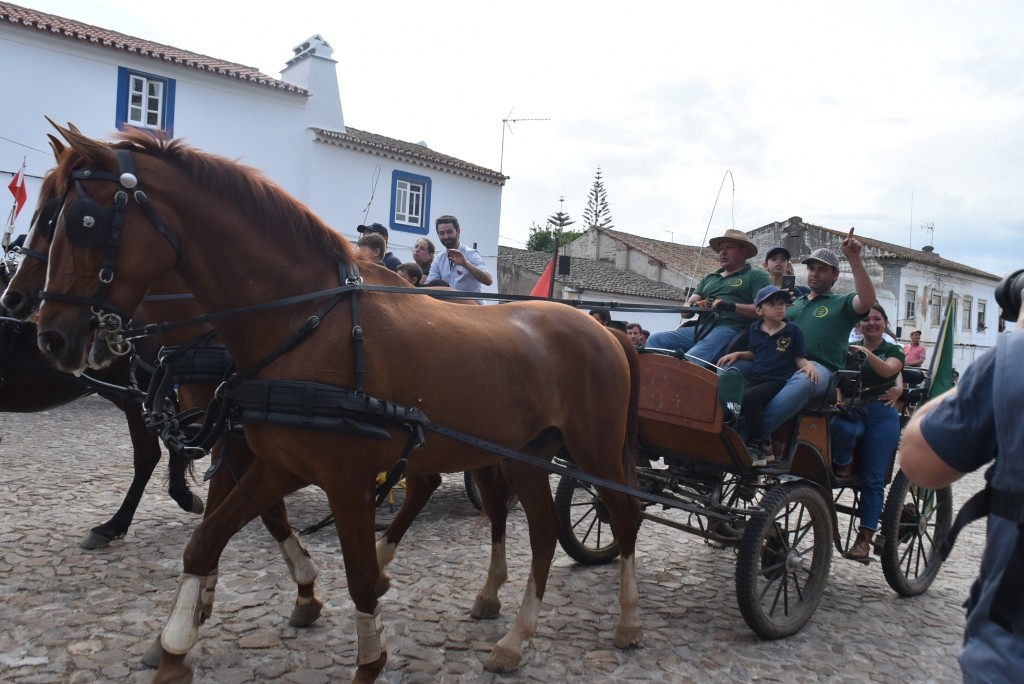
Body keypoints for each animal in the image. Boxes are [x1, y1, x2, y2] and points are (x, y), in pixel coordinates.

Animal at [35, 123, 643, 683]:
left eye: (81, 222)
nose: (50, 336)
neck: (302, 325)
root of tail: (603, 328)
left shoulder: (345, 477)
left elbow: (359, 577)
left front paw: (368, 656)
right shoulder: (279, 463)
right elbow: (205, 541)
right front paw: (177, 644)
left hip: (592, 451)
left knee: (623, 515)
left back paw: (625, 622)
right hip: (523, 455)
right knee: (537, 532)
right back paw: (514, 635)